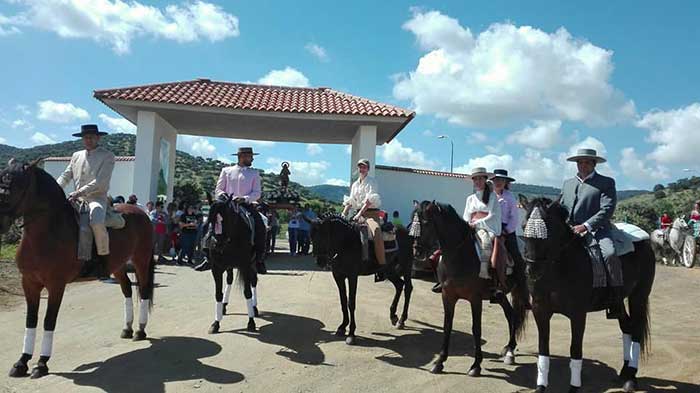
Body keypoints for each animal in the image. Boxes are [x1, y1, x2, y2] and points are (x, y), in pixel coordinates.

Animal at [0, 158, 156, 376]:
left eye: (17, 186)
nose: (0, 224)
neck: (47, 233)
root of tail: (141, 213)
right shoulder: (29, 283)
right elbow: (31, 320)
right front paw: (22, 362)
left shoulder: (56, 285)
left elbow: (49, 320)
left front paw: (42, 363)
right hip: (118, 266)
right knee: (126, 290)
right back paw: (127, 328)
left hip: (141, 261)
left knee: (144, 292)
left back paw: (140, 330)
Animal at [208, 198, 260, 332]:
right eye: (211, 220)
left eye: (227, 220)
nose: (216, 244)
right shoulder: (216, 268)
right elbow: (218, 294)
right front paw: (216, 323)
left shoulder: (246, 266)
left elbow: (247, 292)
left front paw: (251, 322)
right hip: (229, 266)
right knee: (230, 280)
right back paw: (224, 306)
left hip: (252, 264)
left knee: (253, 281)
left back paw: (254, 307)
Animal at [308, 213, 416, 344]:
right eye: (311, 237)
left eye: (323, 236)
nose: (320, 262)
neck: (346, 242)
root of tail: (407, 232)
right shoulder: (338, 276)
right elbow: (343, 301)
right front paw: (342, 327)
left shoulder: (352, 276)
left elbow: (351, 302)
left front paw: (351, 333)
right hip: (388, 268)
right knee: (399, 285)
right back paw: (393, 316)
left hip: (406, 266)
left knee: (408, 288)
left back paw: (402, 320)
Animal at [410, 201, 524, 376]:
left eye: (426, 223)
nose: (416, 251)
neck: (459, 255)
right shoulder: (448, 296)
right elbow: (447, 326)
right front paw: (439, 362)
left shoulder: (475, 299)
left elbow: (476, 329)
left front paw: (476, 365)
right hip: (501, 295)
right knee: (510, 315)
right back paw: (509, 348)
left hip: (518, 291)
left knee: (516, 316)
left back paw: (510, 352)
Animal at [520, 196, 656, 392]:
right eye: (523, 226)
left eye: (549, 230)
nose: (532, 270)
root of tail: (643, 240)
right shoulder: (541, 311)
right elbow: (543, 348)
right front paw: (541, 387)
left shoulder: (578, 314)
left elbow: (575, 349)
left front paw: (574, 388)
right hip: (619, 302)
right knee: (627, 328)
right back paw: (624, 373)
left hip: (639, 296)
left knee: (636, 329)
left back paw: (630, 378)